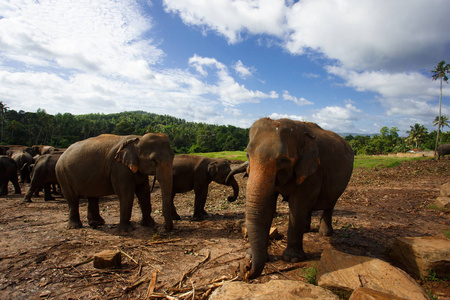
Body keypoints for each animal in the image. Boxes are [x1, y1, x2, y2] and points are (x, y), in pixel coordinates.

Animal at [241, 117, 354, 278]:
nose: (246, 270)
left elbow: (298, 204)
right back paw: (306, 229)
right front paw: (250, 255)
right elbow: (269, 206)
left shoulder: (313, 171)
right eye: (247, 155)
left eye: (284, 160)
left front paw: (292, 259)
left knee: (329, 203)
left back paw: (325, 233)